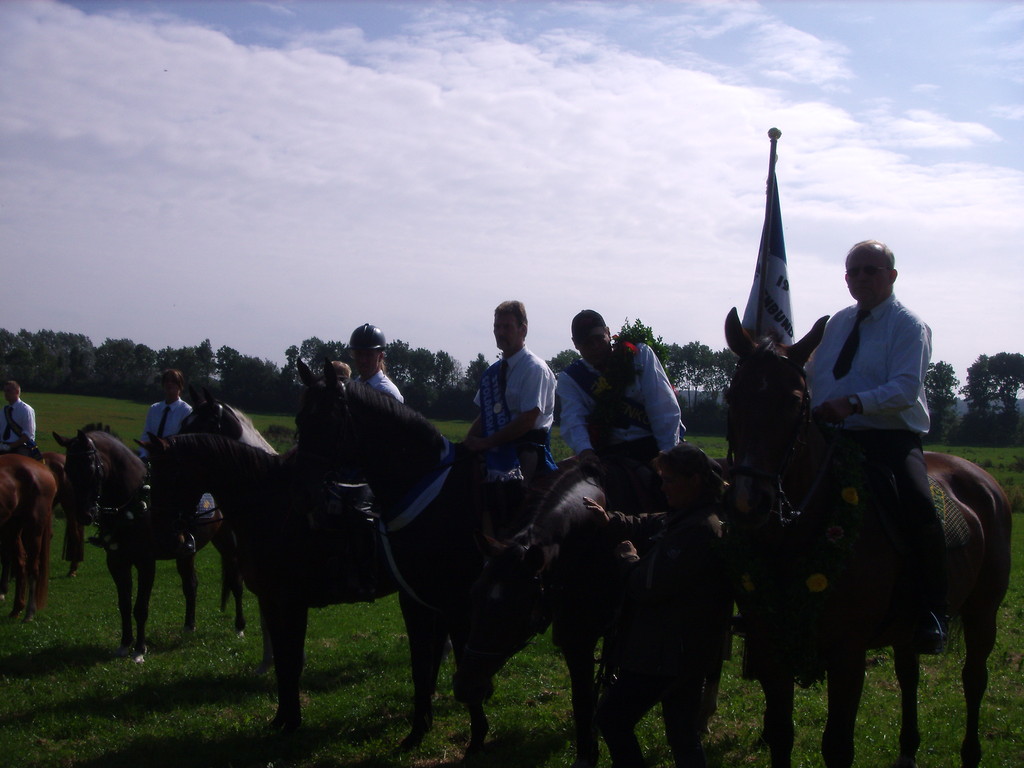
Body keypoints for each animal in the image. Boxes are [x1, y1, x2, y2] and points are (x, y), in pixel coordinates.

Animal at [0, 454, 56, 620]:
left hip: (33, 528)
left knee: (33, 567)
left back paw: (29, 612)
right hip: (12, 526)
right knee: (20, 561)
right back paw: (16, 608)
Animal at [53, 428, 246, 660]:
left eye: (90, 468)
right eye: (67, 469)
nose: (85, 515)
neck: (133, 503)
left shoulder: (146, 562)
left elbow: (140, 607)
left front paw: (139, 650)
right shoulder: (117, 561)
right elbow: (124, 604)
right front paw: (124, 644)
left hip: (228, 544)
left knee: (235, 582)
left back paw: (239, 627)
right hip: (187, 552)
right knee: (191, 584)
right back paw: (189, 626)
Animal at [290, 358, 504, 755]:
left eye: (329, 419)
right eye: (300, 420)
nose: (302, 495)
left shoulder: (456, 602)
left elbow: (461, 654)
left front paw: (477, 735)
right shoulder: (416, 600)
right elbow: (421, 664)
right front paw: (418, 731)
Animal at [722, 307, 1012, 768]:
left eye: (794, 401)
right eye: (732, 397)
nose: (750, 502)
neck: (797, 536)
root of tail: (985, 482)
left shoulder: (848, 654)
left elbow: (838, 746)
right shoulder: (770, 646)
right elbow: (780, 734)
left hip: (983, 611)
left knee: (974, 679)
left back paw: (970, 753)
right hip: (910, 625)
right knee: (909, 674)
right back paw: (908, 750)